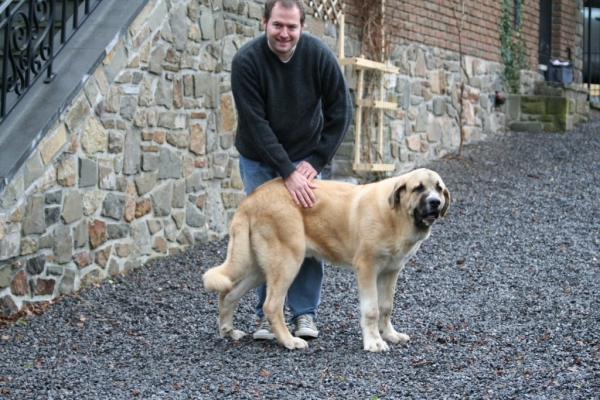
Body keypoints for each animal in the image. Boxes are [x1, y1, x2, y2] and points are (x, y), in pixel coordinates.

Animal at [204, 167, 448, 352]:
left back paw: (227, 331)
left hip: (259, 267)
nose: (435, 202)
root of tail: (250, 199)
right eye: (418, 188)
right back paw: (289, 341)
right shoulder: (367, 268)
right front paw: (374, 342)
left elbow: (386, 307)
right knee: (271, 306)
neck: (396, 216)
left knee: (228, 294)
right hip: (287, 261)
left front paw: (389, 334)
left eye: (439, 188)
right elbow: (372, 309)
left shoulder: (391, 271)